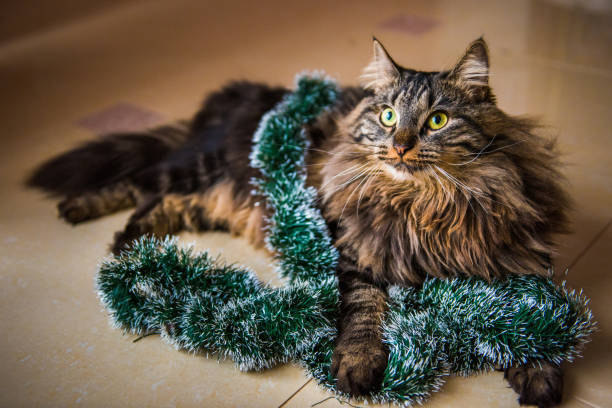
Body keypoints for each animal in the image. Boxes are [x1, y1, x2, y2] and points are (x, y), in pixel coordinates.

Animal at [27, 38, 568, 408]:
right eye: (389, 116)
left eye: (437, 120)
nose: (399, 147)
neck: (424, 204)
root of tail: (240, 96)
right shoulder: (354, 252)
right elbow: (364, 311)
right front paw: (358, 365)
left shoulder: (512, 257)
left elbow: (535, 315)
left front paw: (540, 372)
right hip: (197, 166)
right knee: (140, 183)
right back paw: (99, 226)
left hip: (217, 197)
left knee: (166, 200)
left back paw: (128, 240)